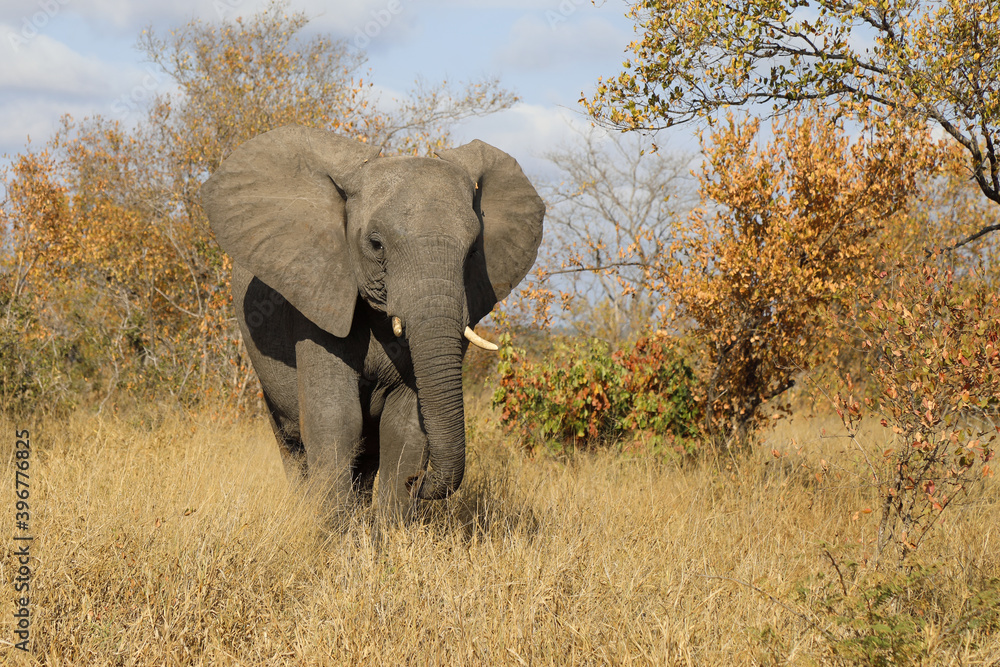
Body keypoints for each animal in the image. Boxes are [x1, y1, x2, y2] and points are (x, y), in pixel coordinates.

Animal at [200, 125, 544, 517]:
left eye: (473, 251)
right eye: (376, 245)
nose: (418, 482)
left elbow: (405, 425)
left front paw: (389, 528)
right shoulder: (318, 297)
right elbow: (337, 418)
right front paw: (333, 531)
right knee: (291, 440)